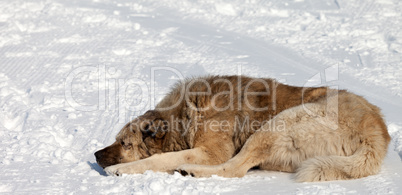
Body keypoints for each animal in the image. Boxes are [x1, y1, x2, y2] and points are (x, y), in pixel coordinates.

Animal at [94, 75, 390, 182]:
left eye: (125, 144)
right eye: (116, 139)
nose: (96, 155)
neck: (186, 116)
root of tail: (377, 134)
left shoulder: (212, 153)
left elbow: (159, 159)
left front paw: (121, 169)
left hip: (278, 124)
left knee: (235, 169)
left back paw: (191, 171)